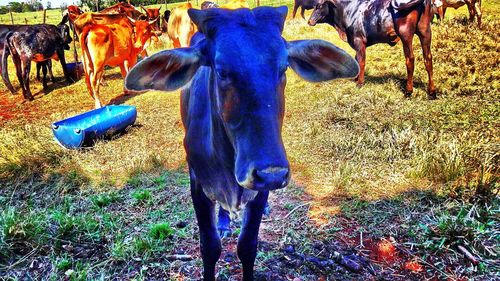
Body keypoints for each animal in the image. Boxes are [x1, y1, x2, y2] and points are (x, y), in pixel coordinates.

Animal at [127, 5, 358, 278]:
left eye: (283, 68)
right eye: (222, 71)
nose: (271, 174)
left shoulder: (259, 192)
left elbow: (247, 246)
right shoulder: (198, 184)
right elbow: (210, 247)